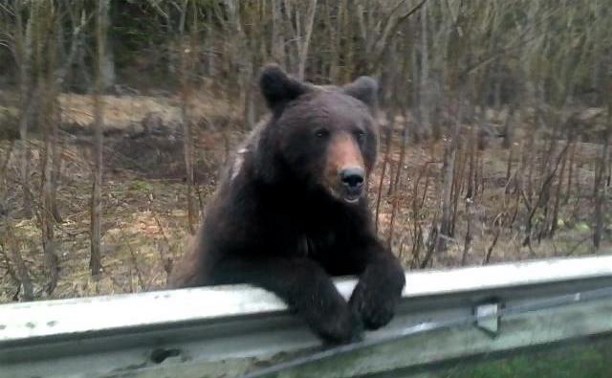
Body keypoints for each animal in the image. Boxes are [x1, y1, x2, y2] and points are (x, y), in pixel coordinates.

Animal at [167, 65, 406, 346]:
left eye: (360, 134)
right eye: (320, 132)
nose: (352, 178)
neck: (308, 197)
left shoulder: (342, 221)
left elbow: (371, 251)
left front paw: (373, 305)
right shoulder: (251, 211)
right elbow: (256, 261)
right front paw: (341, 321)